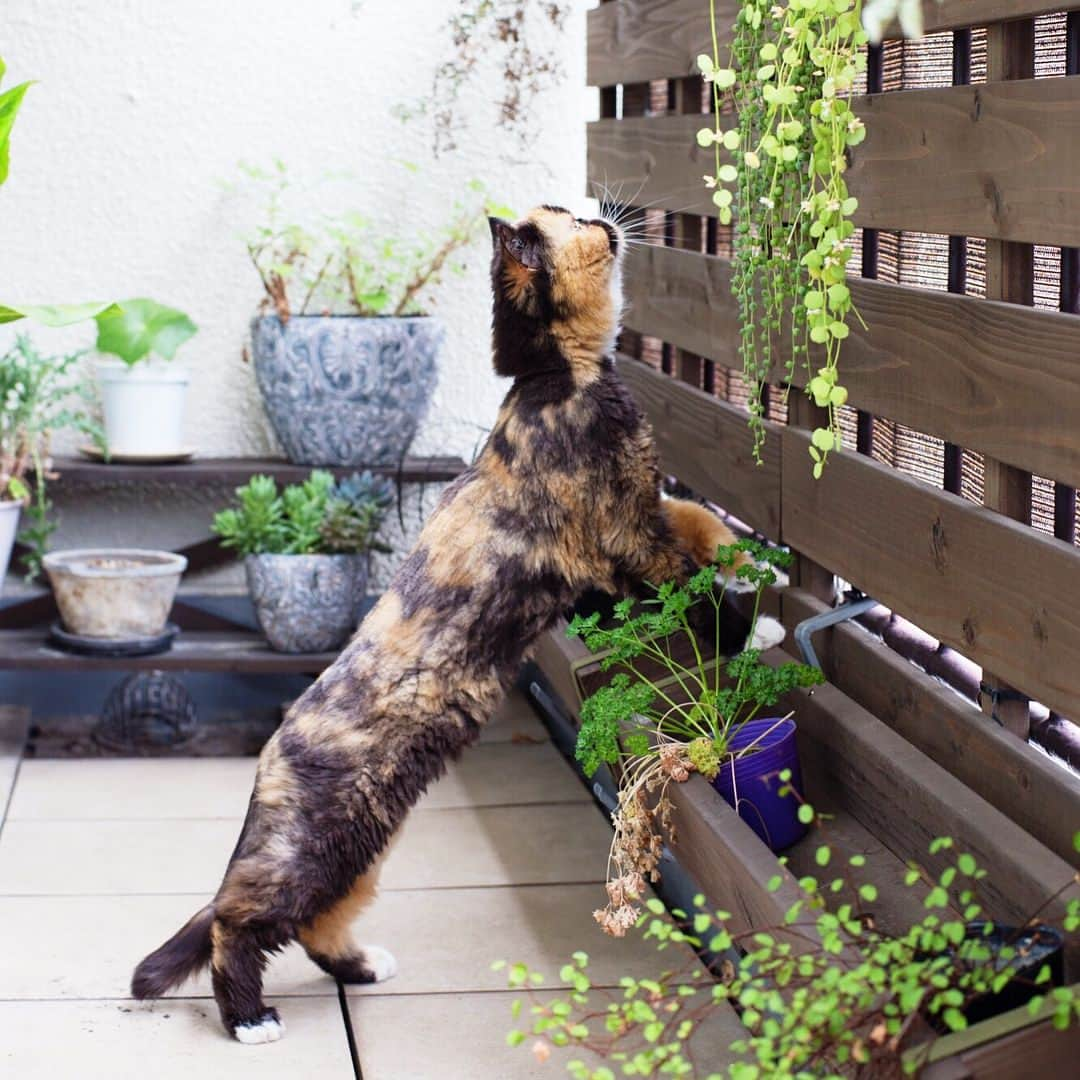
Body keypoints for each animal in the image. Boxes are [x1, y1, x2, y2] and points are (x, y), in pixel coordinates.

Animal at [130, 203, 781, 1036]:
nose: (603, 213)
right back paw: (249, 1018)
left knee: (312, 924)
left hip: (364, 846)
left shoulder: (645, 509)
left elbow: (703, 522)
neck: (559, 381)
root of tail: (274, 752)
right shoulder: (627, 537)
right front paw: (746, 630)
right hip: (317, 846)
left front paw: (758, 562)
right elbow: (694, 590)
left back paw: (362, 967)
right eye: (570, 219)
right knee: (237, 923)